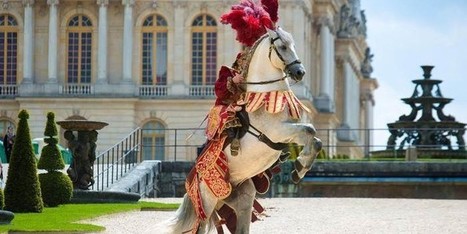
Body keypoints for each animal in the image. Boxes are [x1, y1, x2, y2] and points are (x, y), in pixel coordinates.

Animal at [165, 27, 322, 232]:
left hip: (241, 198)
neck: (267, 95)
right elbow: (310, 131)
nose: (300, 72)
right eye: (282, 46)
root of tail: (192, 179)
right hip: (207, 202)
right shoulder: (278, 132)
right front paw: (300, 166)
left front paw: (300, 168)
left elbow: (315, 139)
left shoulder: (287, 134)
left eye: (294, 45)